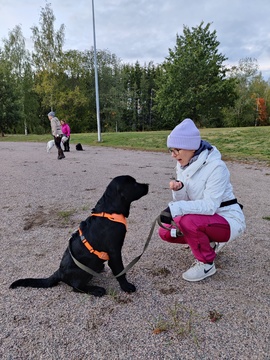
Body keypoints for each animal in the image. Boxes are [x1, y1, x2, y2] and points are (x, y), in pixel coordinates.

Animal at [10, 176, 149, 296]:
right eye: (134, 183)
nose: (147, 185)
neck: (109, 211)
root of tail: (59, 272)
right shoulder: (114, 251)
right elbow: (120, 271)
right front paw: (126, 286)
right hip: (83, 271)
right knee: (76, 287)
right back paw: (96, 290)